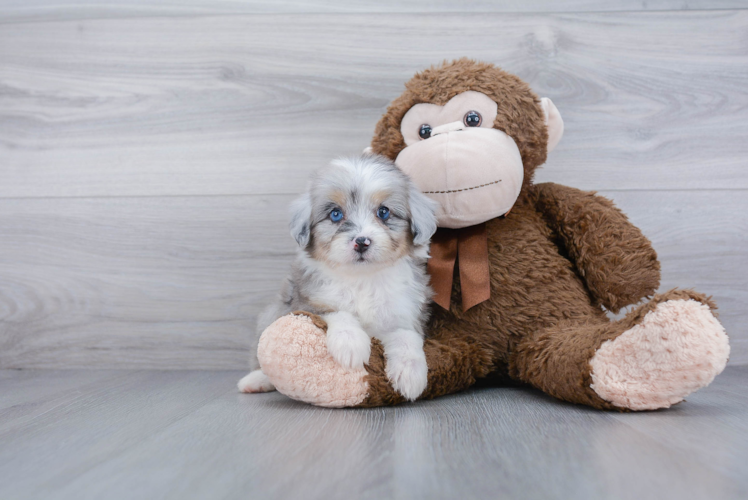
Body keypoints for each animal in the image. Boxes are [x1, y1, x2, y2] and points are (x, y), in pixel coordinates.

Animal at [238, 154, 438, 400]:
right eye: (335, 214)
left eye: (383, 212)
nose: (361, 242)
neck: (362, 279)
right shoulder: (307, 302)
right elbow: (337, 312)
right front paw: (351, 344)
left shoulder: (404, 314)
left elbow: (407, 337)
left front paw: (410, 375)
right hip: (272, 313)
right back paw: (255, 381)